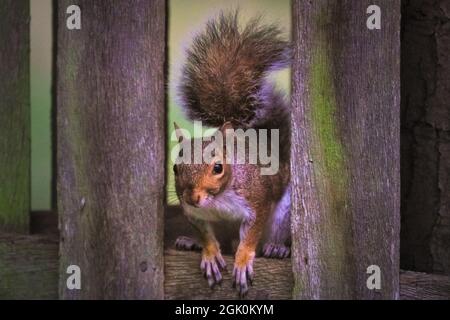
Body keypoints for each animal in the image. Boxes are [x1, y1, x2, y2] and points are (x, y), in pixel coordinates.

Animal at [172, 12, 292, 298]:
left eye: (218, 168)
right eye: (175, 168)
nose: (192, 198)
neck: (217, 200)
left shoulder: (257, 200)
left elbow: (250, 236)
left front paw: (243, 260)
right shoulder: (194, 215)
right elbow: (207, 235)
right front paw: (208, 253)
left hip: (284, 213)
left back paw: (276, 247)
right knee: (226, 241)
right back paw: (190, 242)